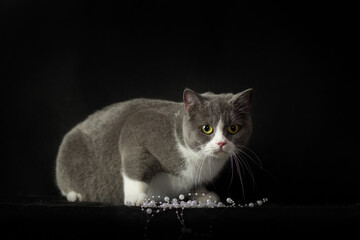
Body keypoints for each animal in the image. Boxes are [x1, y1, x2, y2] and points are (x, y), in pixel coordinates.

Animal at [56, 88, 253, 204]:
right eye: (207, 128)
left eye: (233, 128)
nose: (221, 143)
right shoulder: (139, 128)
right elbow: (135, 163)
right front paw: (136, 197)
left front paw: (204, 195)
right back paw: (75, 194)